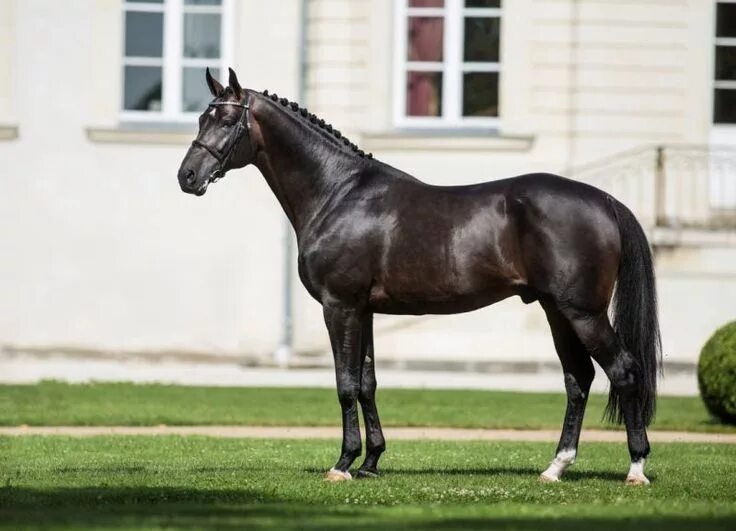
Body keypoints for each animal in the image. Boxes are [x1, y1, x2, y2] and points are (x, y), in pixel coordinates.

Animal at [178, 69, 660, 486]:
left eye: (226, 120)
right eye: (202, 117)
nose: (187, 176)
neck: (339, 194)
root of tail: (606, 201)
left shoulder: (340, 307)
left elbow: (345, 384)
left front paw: (344, 463)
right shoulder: (365, 311)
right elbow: (368, 383)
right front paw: (371, 462)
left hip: (583, 312)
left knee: (623, 371)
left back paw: (635, 468)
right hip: (556, 311)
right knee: (578, 379)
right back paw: (555, 467)